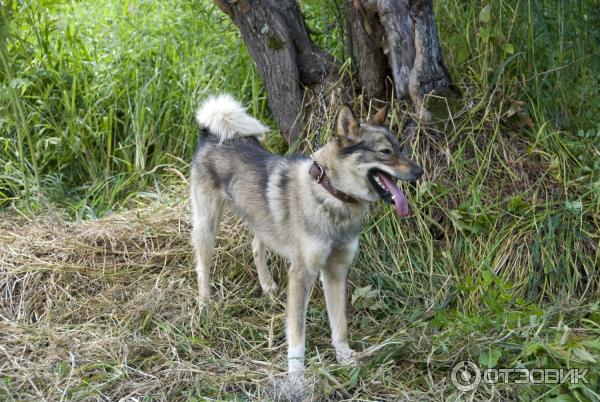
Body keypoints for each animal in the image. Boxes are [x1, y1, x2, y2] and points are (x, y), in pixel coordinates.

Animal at [191, 93, 422, 384]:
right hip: (207, 225)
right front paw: (297, 377)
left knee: (256, 246)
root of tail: (210, 135)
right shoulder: (302, 274)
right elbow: (297, 334)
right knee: (203, 267)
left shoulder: (335, 271)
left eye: (400, 149)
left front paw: (345, 360)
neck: (332, 194)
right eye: (385, 152)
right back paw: (205, 306)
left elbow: (340, 324)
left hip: (261, 220)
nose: (420, 172)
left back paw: (267, 285)